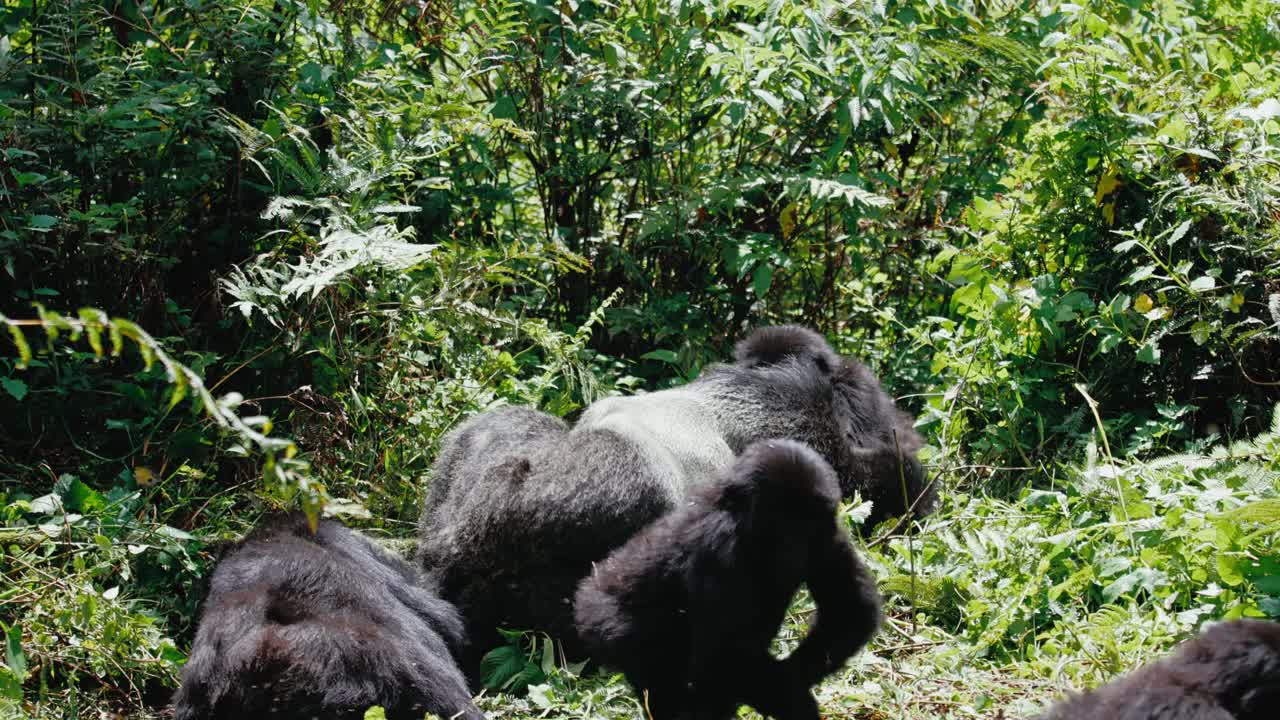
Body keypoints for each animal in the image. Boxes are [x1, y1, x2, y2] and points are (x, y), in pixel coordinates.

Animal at [573, 439, 883, 720]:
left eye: (806, 524)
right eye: (781, 522)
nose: (795, 548)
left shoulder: (828, 530)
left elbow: (848, 611)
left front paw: (787, 684)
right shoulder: (719, 546)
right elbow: (722, 659)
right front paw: (784, 694)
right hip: (602, 617)